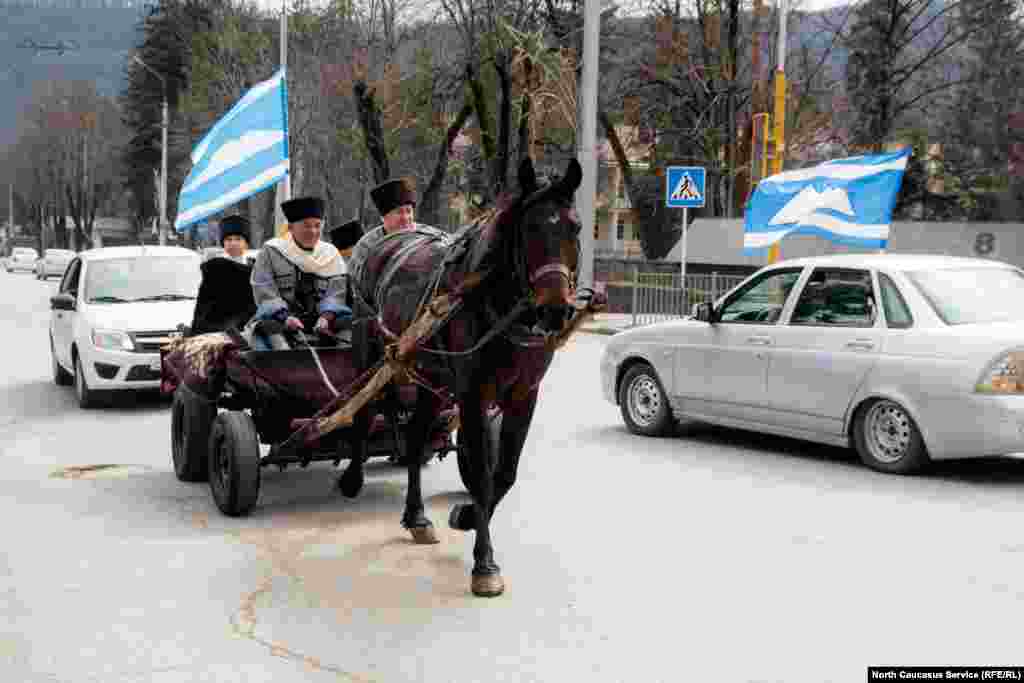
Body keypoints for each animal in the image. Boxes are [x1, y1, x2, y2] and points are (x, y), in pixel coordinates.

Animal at [342, 157, 585, 593]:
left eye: (574, 227)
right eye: (531, 228)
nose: (555, 310)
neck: (496, 302)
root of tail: (390, 240)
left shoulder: (524, 394)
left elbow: (503, 472)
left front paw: (469, 515)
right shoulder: (473, 395)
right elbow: (483, 476)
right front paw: (484, 564)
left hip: (433, 380)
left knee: (416, 436)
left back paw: (417, 516)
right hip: (372, 356)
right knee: (364, 412)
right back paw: (353, 477)